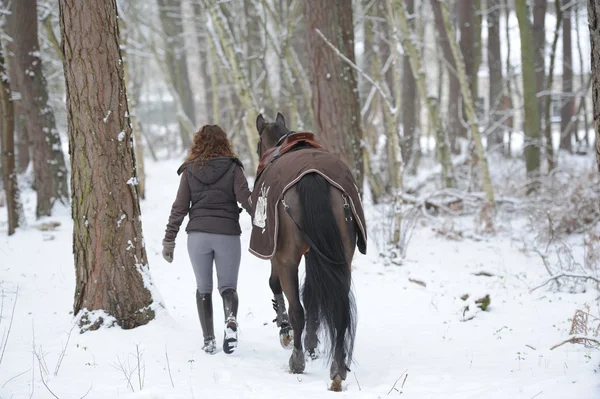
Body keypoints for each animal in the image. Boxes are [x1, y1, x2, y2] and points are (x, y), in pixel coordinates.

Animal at [250, 111, 366, 390]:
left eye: (258, 145)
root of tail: (313, 175)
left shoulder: (278, 254)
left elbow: (276, 285)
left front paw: (285, 330)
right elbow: (314, 294)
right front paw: (312, 344)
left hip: (288, 258)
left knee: (297, 310)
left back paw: (297, 360)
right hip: (341, 257)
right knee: (339, 309)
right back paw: (337, 369)